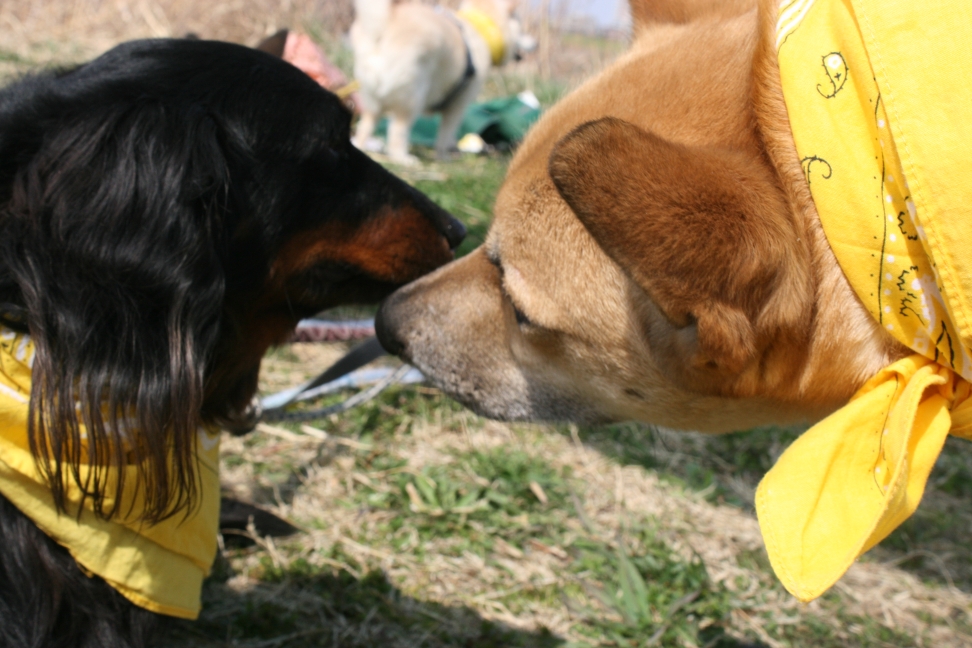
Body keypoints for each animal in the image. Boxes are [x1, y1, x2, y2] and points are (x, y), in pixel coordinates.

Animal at [350, 0, 532, 165]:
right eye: (522, 30)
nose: (534, 43)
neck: (481, 29)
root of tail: (381, 27)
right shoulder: (458, 105)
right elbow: (445, 135)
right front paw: (444, 157)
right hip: (413, 99)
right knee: (397, 132)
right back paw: (402, 158)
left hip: (371, 100)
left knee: (365, 126)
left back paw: (360, 146)